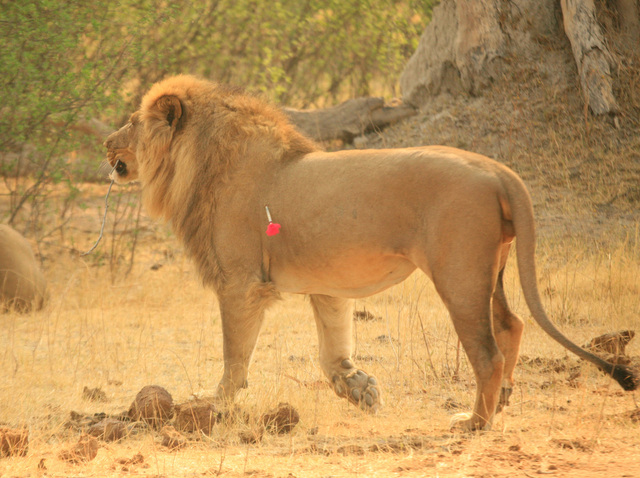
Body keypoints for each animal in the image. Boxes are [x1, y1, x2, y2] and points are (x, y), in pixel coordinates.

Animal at [102, 76, 636, 432]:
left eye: (130, 122)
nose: (106, 142)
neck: (199, 164)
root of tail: (497, 170)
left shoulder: (241, 284)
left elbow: (235, 359)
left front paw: (216, 408)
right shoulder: (325, 287)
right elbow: (332, 352)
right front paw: (361, 391)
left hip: (459, 274)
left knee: (487, 352)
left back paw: (473, 422)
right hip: (495, 268)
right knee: (512, 325)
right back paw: (501, 403)